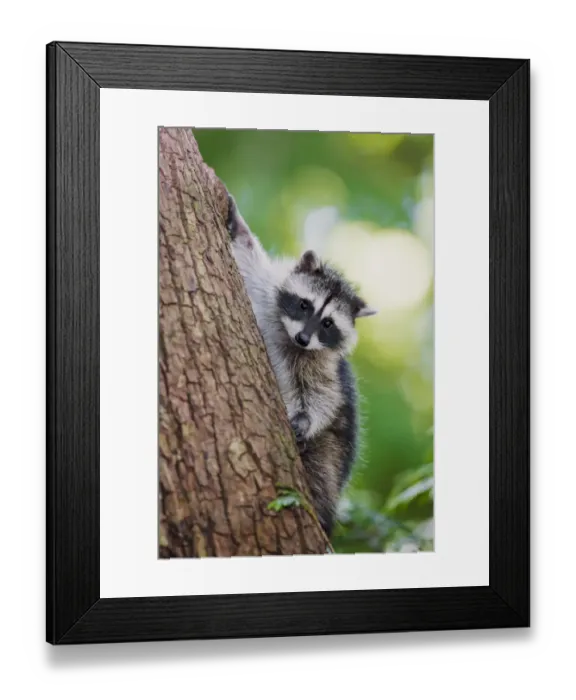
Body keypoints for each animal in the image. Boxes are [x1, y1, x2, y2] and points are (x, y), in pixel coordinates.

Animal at [226, 194, 377, 537]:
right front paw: (239, 228)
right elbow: (250, 260)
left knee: (323, 471)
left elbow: (322, 394)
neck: (288, 334)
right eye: (304, 304)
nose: (304, 338)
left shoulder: (325, 365)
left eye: (327, 323)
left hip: (333, 449)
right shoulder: (266, 294)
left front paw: (306, 419)